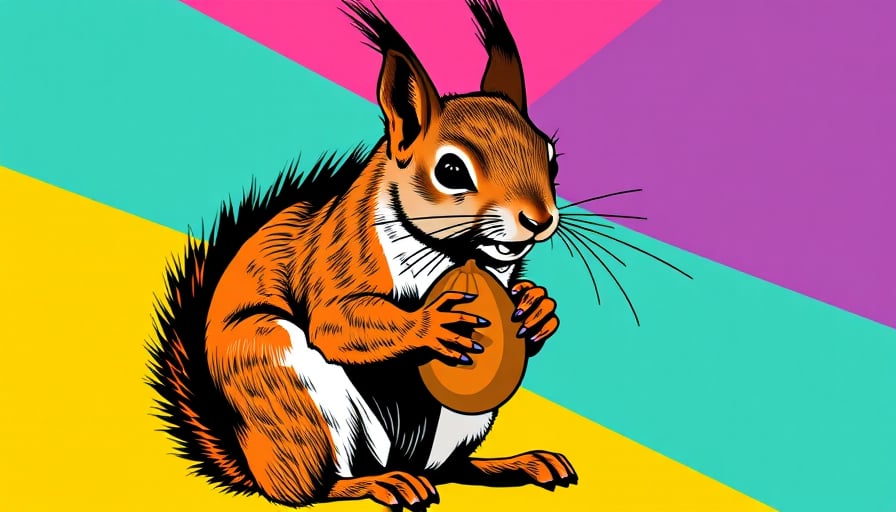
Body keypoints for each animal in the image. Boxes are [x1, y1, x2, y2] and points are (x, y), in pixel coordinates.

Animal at [147, 1, 577, 509]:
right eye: (451, 170)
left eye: (551, 159)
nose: (539, 219)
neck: (458, 256)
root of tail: (253, 465)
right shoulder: (336, 259)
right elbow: (337, 323)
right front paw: (430, 323)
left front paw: (537, 307)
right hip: (288, 382)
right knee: (310, 490)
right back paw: (379, 483)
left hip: (459, 423)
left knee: (452, 467)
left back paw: (516, 464)